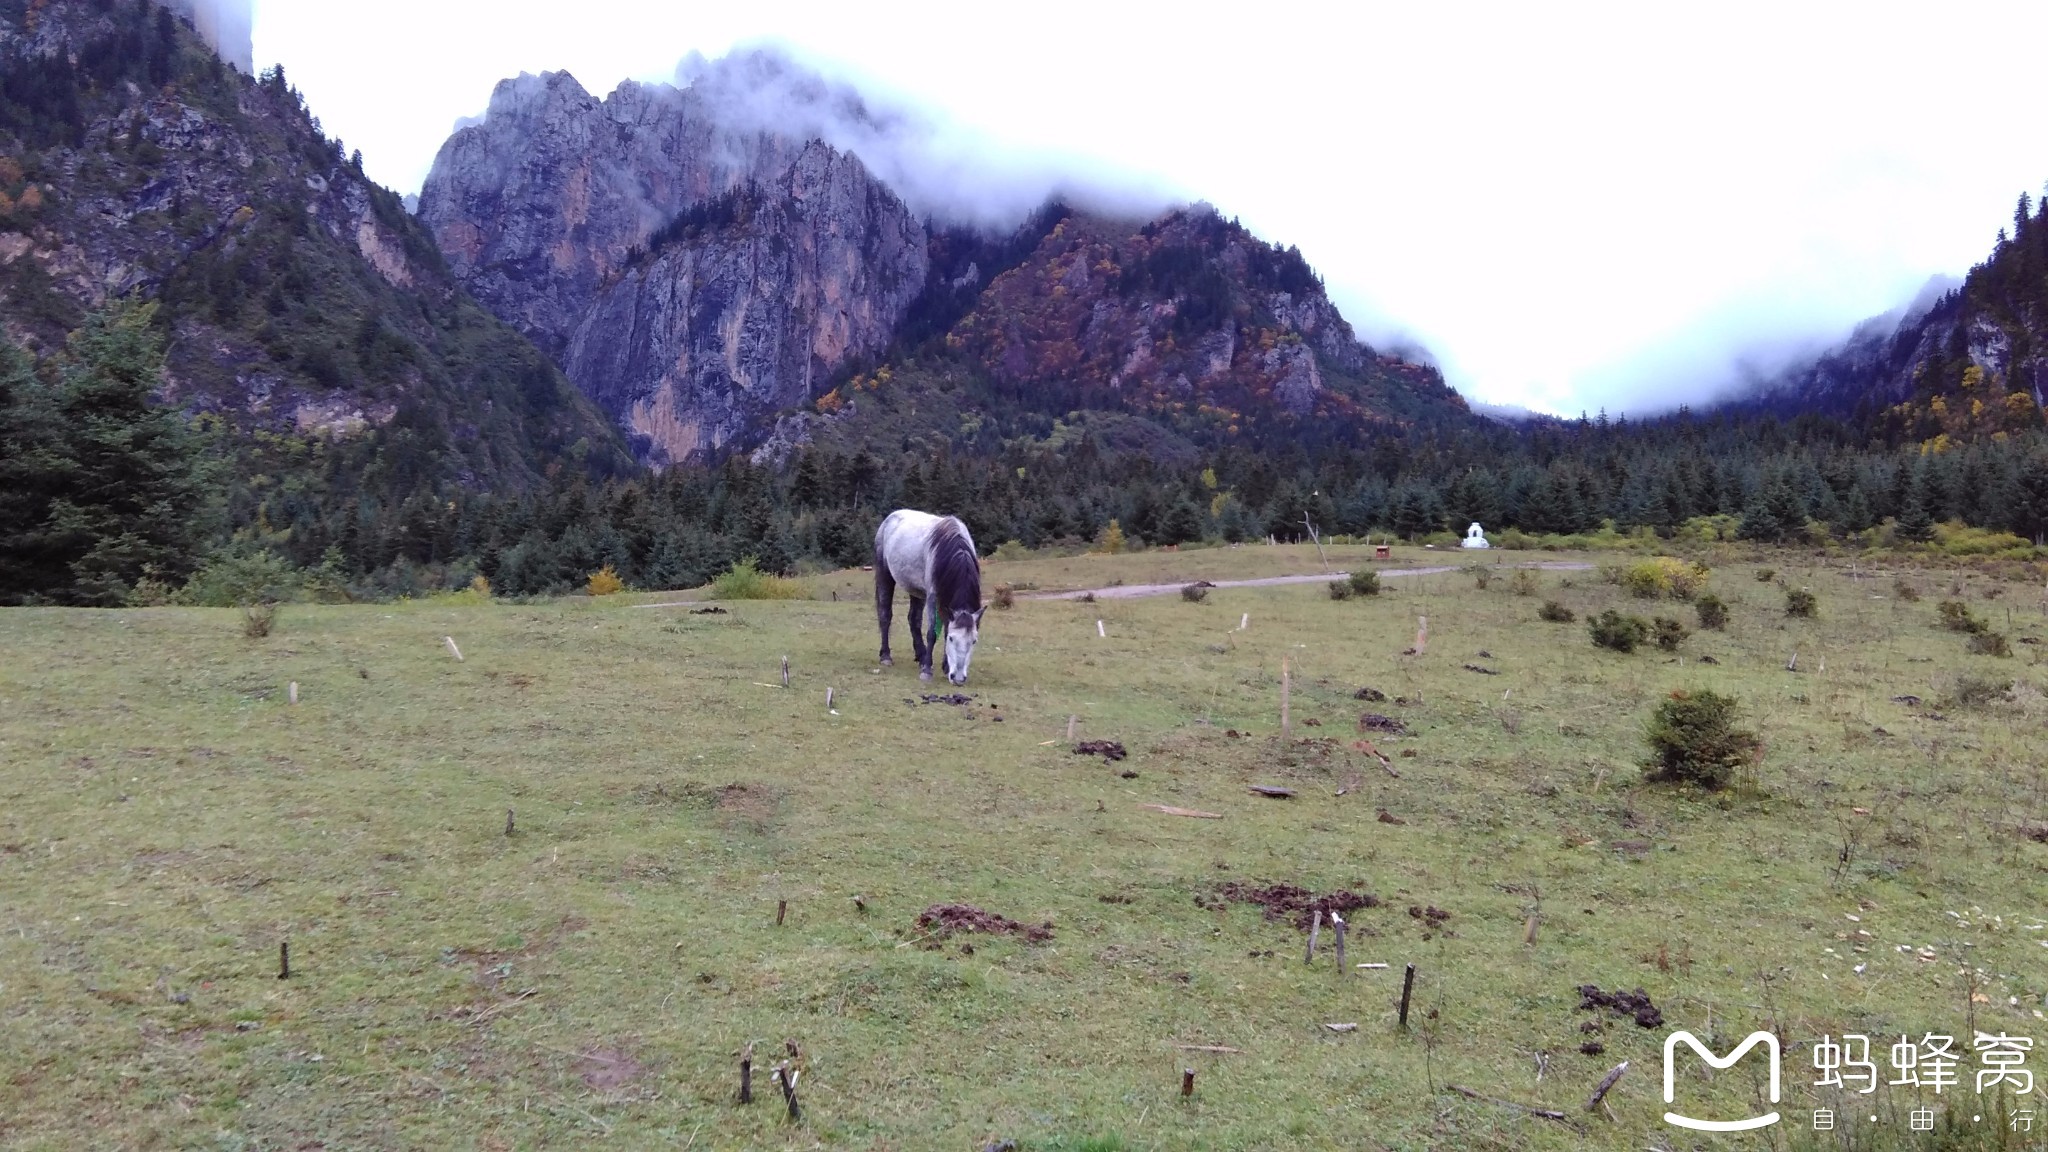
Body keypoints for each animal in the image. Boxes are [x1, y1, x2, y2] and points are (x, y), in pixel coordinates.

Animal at [872, 504, 983, 680]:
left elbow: (945, 627)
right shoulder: (933, 597)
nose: (958, 678)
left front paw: (945, 666)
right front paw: (927, 670)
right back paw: (886, 656)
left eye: (973, 641)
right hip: (885, 576)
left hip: (916, 591)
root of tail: (890, 518)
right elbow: (932, 632)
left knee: (914, 620)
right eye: (952, 639)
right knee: (885, 615)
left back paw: (921, 655)